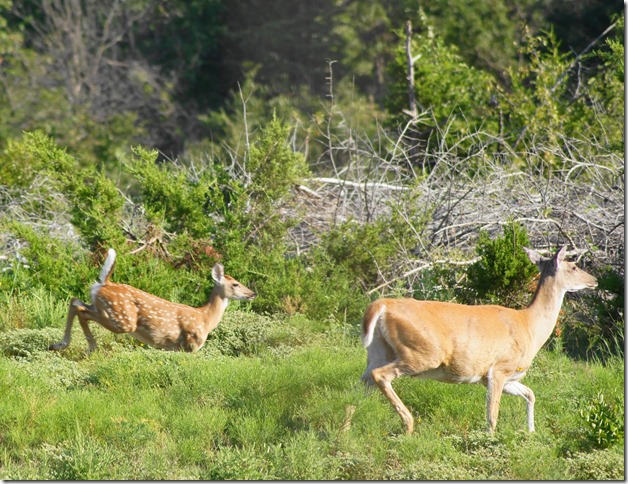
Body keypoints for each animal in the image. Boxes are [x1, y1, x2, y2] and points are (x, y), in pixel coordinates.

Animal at [47, 248, 256, 354]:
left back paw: (59, 344)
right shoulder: (191, 344)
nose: (252, 293)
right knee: (81, 310)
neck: (205, 318)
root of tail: (104, 283)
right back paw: (90, 347)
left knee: (75, 301)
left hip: (104, 307)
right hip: (122, 319)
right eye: (236, 284)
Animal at [360, 248, 596, 432]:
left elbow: (530, 394)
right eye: (573, 266)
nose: (594, 280)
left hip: (377, 351)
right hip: (421, 353)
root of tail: (382, 305)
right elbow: (492, 416)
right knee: (380, 376)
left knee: (362, 382)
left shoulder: (498, 377)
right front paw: (490, 442)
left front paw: (531, 432)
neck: (529, 325)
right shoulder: (499, 369)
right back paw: (408, 424)